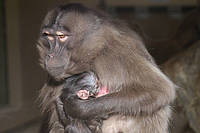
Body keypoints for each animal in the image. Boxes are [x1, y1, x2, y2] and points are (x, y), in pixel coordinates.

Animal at [37, 3, 175, 132]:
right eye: (48, 36)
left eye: (61, 36)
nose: (51, 55)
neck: (94, 50)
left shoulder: (117, 53)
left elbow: (159, 90)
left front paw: (75, 107)